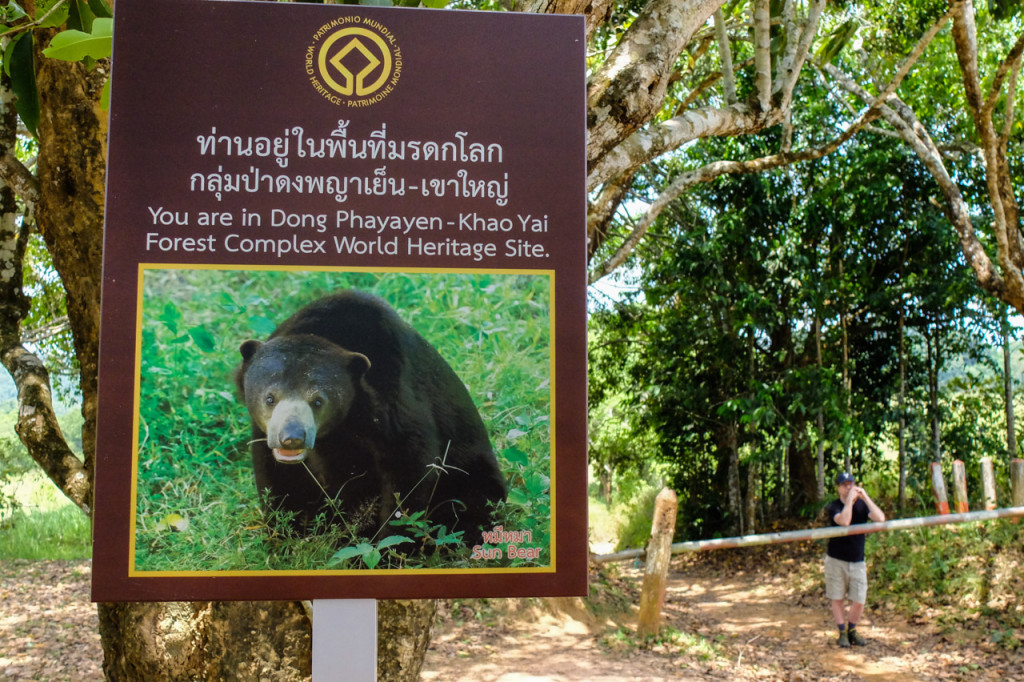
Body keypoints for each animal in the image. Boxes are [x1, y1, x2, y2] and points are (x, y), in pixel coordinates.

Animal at [234, 286, 507, 548]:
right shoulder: (265, 432)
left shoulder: (393, 397)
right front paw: (286, 536)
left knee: (471, 502)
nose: (292, 438)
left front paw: (388, 548)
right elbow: (276, 475)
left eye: (318, 401)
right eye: (270, 398)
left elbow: (409, 466)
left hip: (472, 471)